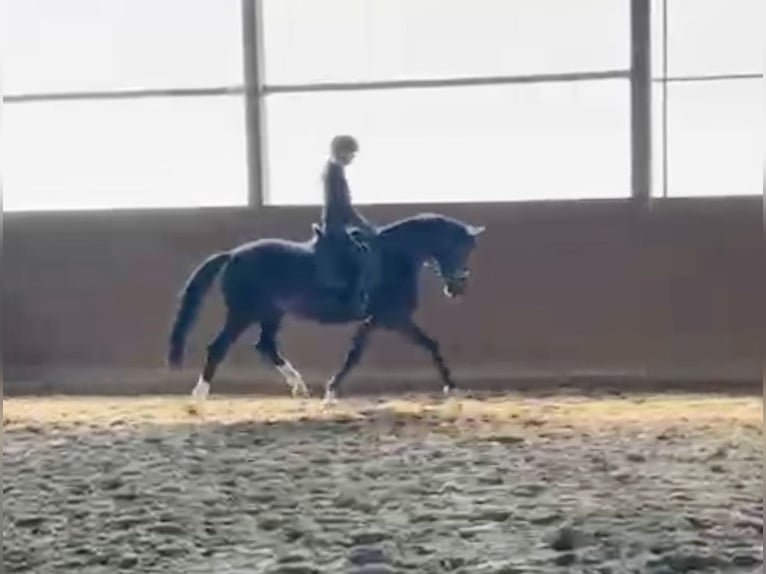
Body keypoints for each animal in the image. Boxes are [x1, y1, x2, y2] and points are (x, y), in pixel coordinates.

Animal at [166, 212, 485, 405]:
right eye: (460, 248)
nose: (457, 288)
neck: (395, 257)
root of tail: (232, 254)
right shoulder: (392, 317)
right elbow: (417, 346)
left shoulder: (378, 319)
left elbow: (360, 351)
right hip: (243, 313)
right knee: (218, 347)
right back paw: (199, 396)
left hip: (271, 313)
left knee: (265, 346)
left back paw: (299, 387)